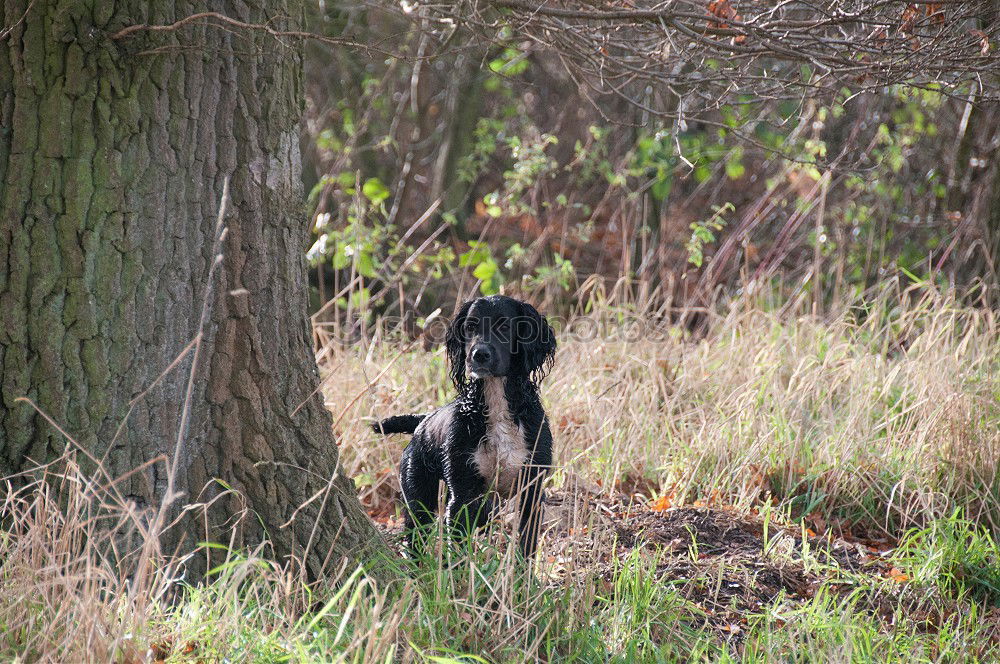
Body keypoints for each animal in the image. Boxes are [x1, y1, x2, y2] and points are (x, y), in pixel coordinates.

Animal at [374, 294, 560, 556]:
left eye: (504, 326)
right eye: (470, 326)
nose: (478, 354)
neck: (497, 405)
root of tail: (423, 422)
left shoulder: (531, 490)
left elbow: (527, 545)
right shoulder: (462, 495)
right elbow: (459, 551)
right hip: (418, 497)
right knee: (415, 540)